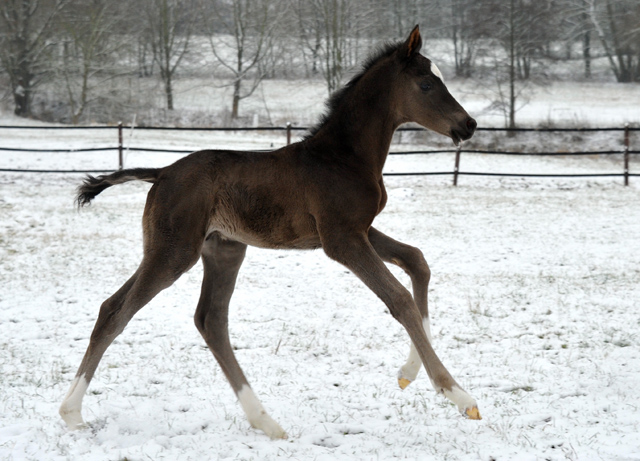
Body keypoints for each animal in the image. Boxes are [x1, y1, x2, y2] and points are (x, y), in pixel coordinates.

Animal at [60, 26, 480, 438]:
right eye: (426, 84)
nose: (468, 125)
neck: (343, 157)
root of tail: (160, 173)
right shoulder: (341, 239)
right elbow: (399, 299)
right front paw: (456, 393)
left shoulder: (359, 230)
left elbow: (417, 261)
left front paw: (409, 372)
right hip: (174, 252)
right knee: (117, 311)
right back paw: (72, 413)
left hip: (222, 249)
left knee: (207, 319)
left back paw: (265, 421)